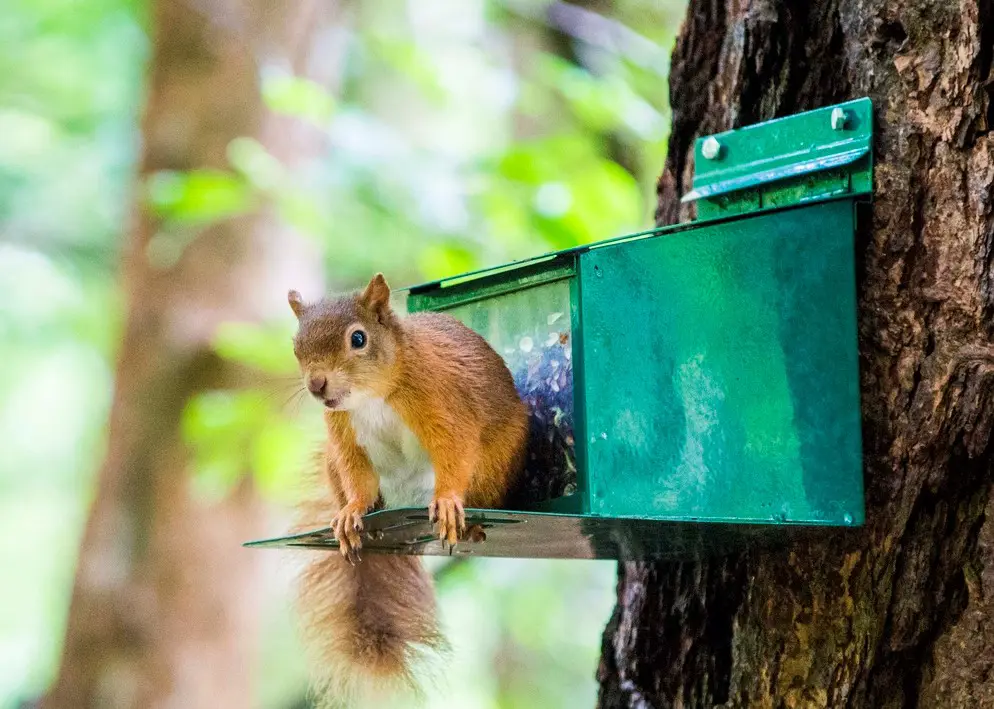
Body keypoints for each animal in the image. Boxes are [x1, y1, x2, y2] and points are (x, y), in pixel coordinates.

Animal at [284, 274, 528, 700]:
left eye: (358, 338)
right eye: (296, 345)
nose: (317, 385)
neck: (371, 397)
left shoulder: (444, 403)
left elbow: (455, 448)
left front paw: (447, 501)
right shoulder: (344, 436)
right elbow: (358, 477)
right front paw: (352, 511)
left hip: (496, 463)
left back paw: (472, 524)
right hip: (332, 461)